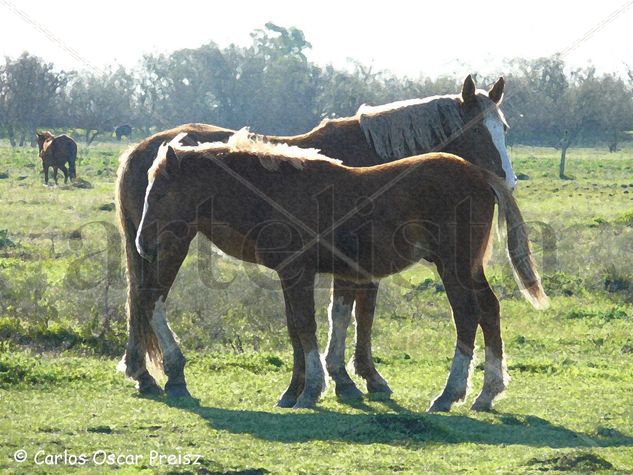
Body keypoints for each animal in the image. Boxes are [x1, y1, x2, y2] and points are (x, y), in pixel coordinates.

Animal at [116, 74, 516, 406]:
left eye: (504, 129)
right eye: (479, 132)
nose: (508, 182)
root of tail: (136, 150)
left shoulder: (336, 268)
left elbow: (335, 318)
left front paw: (337, 381)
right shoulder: (332, 270)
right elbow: (333, 318)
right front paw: (343, 381)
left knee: (478, 310)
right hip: (171, 244)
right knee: (148, 298)